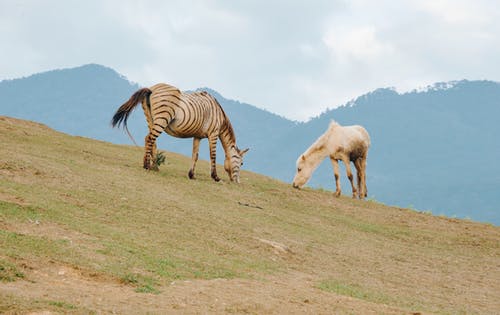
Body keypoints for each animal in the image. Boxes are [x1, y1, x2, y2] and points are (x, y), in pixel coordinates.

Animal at [111, 82, 248, 184]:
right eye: (242, 163)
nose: (238, 182)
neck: (219, 115)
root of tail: (151, 88)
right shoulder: (213, 134)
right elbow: (212, 156)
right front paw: (215, 177)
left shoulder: (197, 136)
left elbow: (195, 155)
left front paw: (191, 175)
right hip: (162, 118)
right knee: (150, 138)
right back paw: (147, 165)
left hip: (151, 118)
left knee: (151, 140)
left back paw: (155, 167)